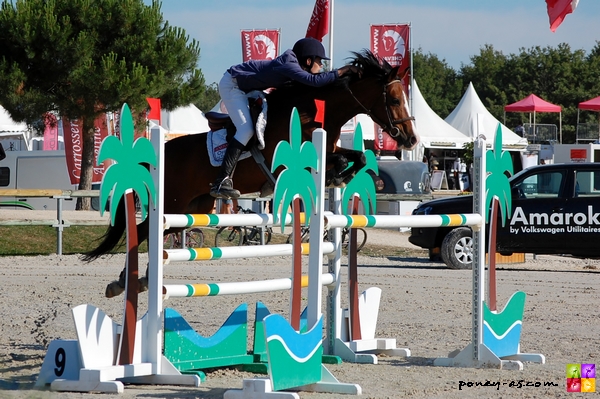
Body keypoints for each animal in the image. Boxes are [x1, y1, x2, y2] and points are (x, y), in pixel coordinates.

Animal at [82, 50, 418, 296]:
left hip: (194, 207)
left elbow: (357, 156)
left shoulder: (330, 150)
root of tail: (160, 154)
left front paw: (341, 176)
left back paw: (141, 279)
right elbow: (337, 162)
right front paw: (339, 175)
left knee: (159, 232)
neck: (310, 113)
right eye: (394, 99)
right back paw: (124, 281)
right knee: (143, 231)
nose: (411, 139)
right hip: (173, 202)